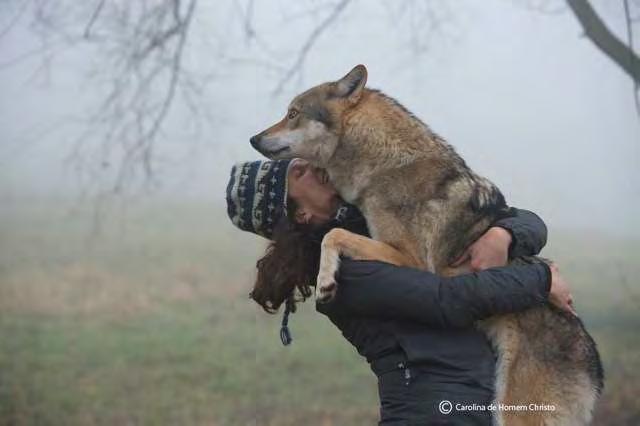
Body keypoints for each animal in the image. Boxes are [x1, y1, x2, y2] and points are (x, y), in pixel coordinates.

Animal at [249, 65, 600, 424]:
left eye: (292, 113)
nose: (254, 138)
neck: (384, 163)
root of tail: (594, 367)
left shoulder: (414, 261)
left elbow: (333, 234)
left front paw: (326, 281)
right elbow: (334, 234)